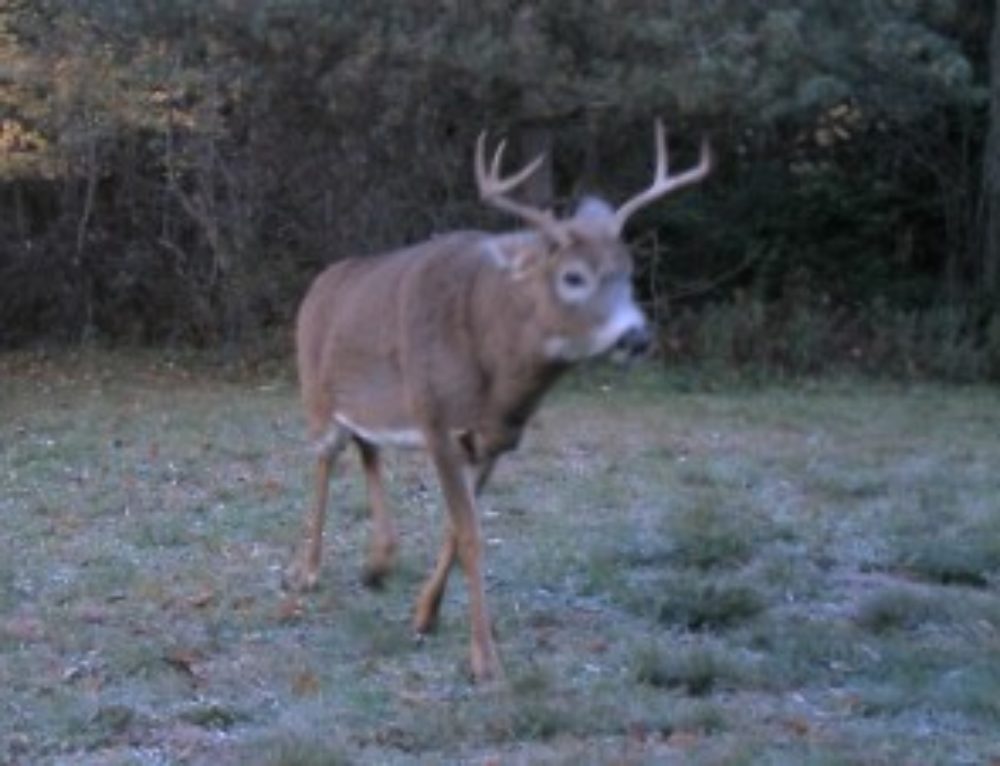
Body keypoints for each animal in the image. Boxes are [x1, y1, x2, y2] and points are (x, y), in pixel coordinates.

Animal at [284, 120, 711, 682]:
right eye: (573, 276)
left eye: (628, 271)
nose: (637, 337)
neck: (497, 377)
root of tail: (317, 285)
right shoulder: (437, 418)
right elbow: (471, 537)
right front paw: (485, 660)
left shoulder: (492, 440)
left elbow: (453, 530)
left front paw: (425, 615)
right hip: (315, 391)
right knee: (323, 462)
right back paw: (307, 572)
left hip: (371, 406)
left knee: (367, 446)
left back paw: (379, 562)